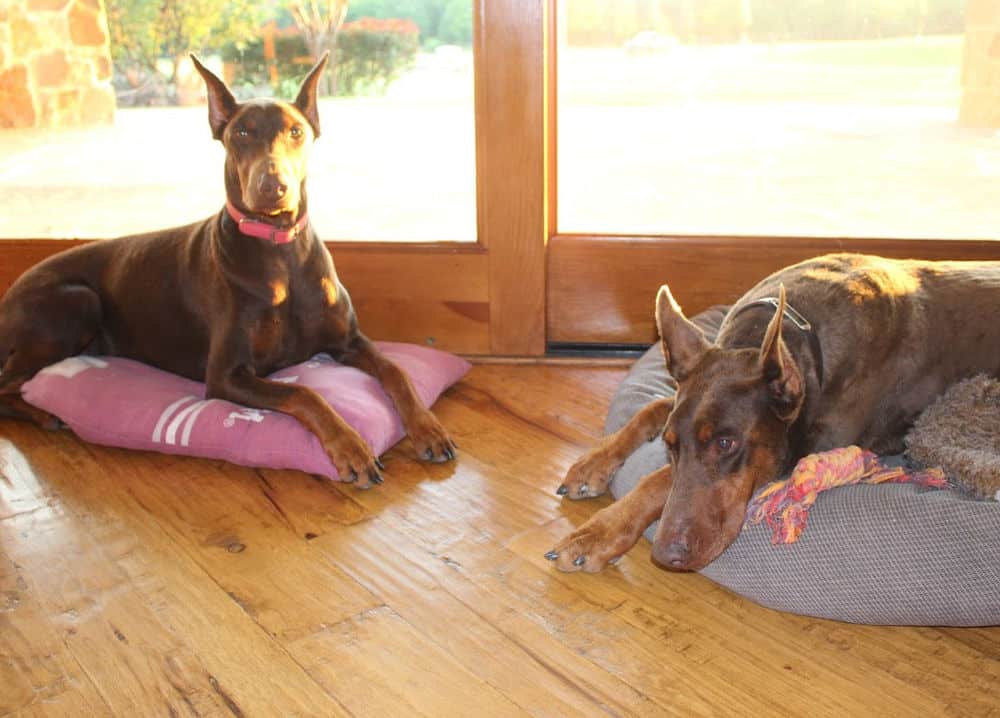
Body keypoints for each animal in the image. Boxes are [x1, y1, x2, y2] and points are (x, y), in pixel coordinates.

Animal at [0, 53, 458, 486]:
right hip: (78, 301)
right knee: (6, 382)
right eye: (241, 133)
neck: (280, 251)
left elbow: (397, 371)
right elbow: (305, 393)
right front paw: (352, 448)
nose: (273, 187)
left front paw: (428, 428)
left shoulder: (349, 340)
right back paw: (45, 414)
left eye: (296, 131)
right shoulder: (226, 375)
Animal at [548, 253, 1000, 572]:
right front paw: (592, 464)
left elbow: (658, 481)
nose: (665, 553)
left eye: (727, 443)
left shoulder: (805, 447)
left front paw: (595, 535)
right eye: (670, 444)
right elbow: (655, 406)